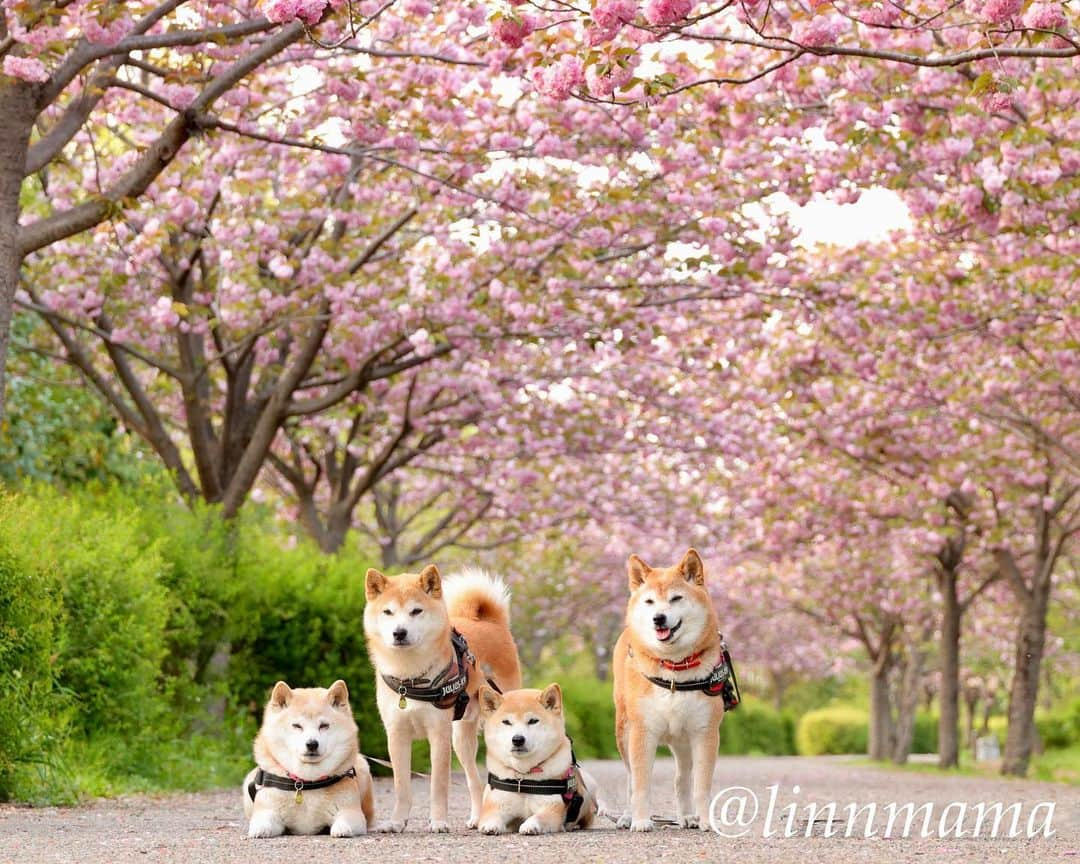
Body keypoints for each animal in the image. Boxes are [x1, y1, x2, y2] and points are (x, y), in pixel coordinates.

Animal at [243, 682, 378, 838]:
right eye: (297, 726)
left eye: (324, 725)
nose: (312, 744)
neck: (307, 782)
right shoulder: (267, 810)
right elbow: (261, 821)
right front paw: (260, 830)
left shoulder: (352, 812)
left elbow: (346, 820)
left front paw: (342, 829)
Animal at [362, 561, 522, 833]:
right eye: (388, 612)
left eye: (416, 611)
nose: (399, 633)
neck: (410, 678)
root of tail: (491, 623)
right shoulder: (396, 734)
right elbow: (401, 786)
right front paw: (396, 822)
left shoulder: (438, 733)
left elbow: (438, 785)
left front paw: (438, 821)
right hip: (461, 738)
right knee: (475, 782)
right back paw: (476, 818)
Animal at [477, 682, 600, 838]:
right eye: (506, 722)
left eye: (533, 721)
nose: (518, 739)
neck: (523, 779)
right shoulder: (496, 804)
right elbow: (490, 817)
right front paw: (490, 826)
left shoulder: (552, 807)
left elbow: (539, 817)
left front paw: (530, 825)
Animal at [613, 550, 730, 833]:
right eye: (649, 601)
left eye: (676, 598)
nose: (659, 618)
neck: (674, 668)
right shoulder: (642, 733)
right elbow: (640, 784)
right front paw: (641, 820)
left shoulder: (705, 733)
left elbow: (701, 786)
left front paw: (706, 820)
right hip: (623, 732)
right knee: (630, 778)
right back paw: (627, 816)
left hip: (683, 740)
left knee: (681, 779)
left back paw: (687, 817)